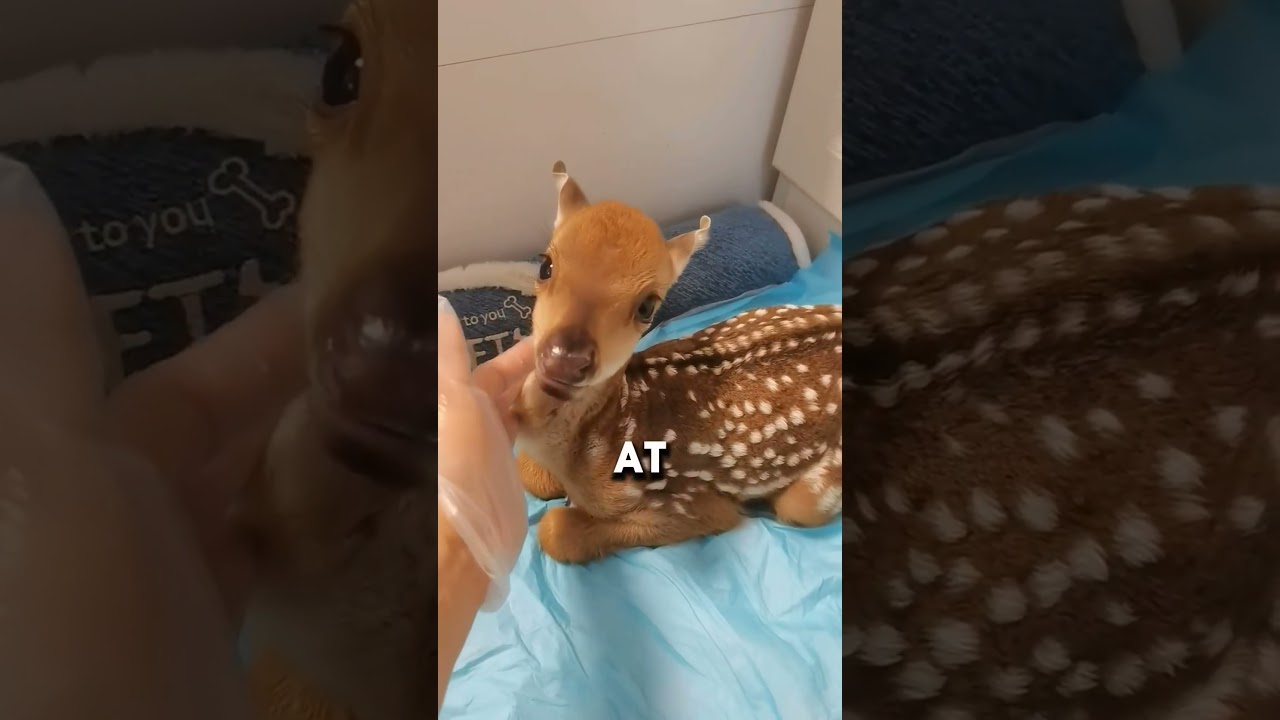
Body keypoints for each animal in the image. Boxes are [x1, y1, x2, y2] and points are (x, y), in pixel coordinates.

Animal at [511, 162, 843, 565]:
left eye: (646, 307)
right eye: (545, 266)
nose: (565, 359)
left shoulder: (692, 504)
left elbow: (555, 530)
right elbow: (528, 471)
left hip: (816, 489)